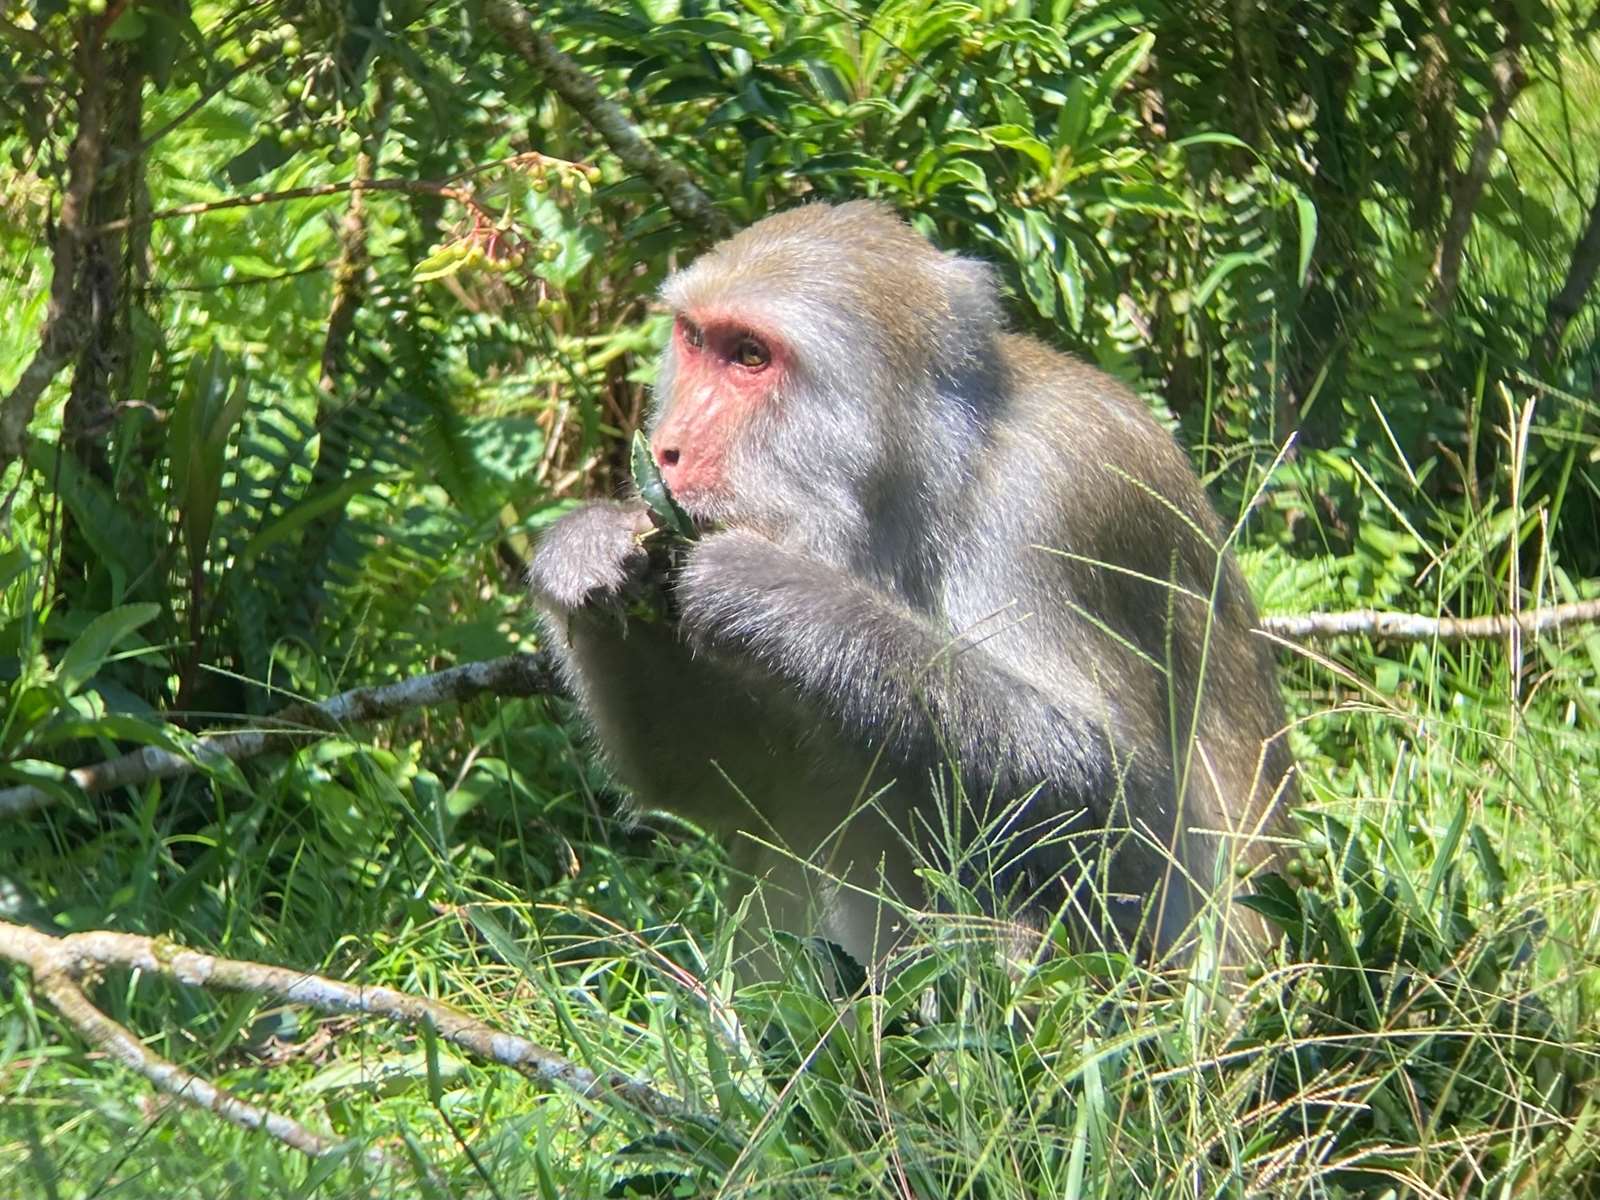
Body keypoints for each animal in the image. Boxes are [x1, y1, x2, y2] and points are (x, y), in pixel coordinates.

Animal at [531, 202, 1292, 972]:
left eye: (749, 356)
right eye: (694, 340)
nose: (666, 450)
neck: (924, 483)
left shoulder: (1054, 501)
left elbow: (1113, 802)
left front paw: (777, 593)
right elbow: (711, 778)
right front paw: (586, 547)